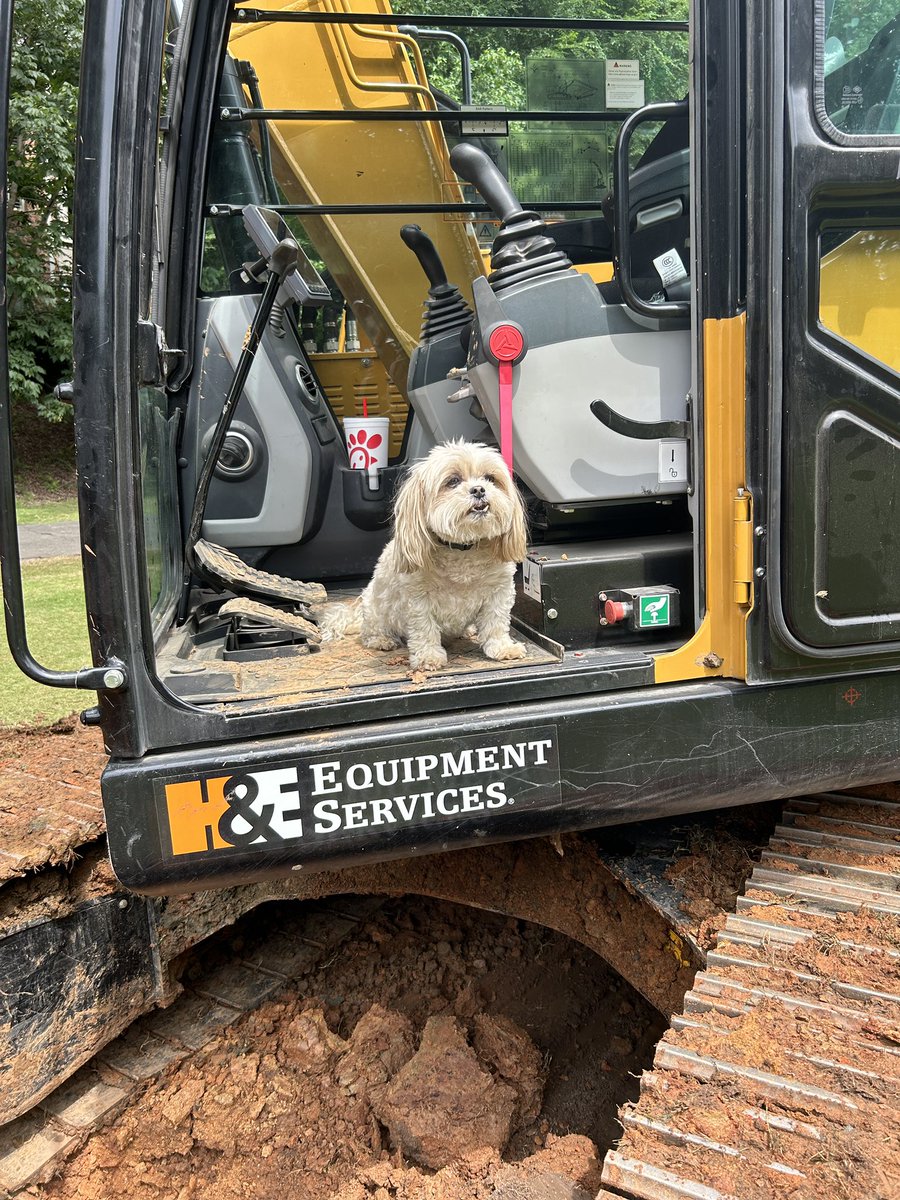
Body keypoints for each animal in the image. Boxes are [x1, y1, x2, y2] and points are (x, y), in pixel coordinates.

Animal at [328, 441, 532, 672]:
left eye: (490, 478)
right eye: (453, 481)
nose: (479, 489)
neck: (463, 549)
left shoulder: (499, 592)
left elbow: (496, 622)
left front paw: (503, 648)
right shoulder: (418, 600)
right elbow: (424, 629)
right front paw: (428, 657)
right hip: (375, 607)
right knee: (371, 630)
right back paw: (382, 640)